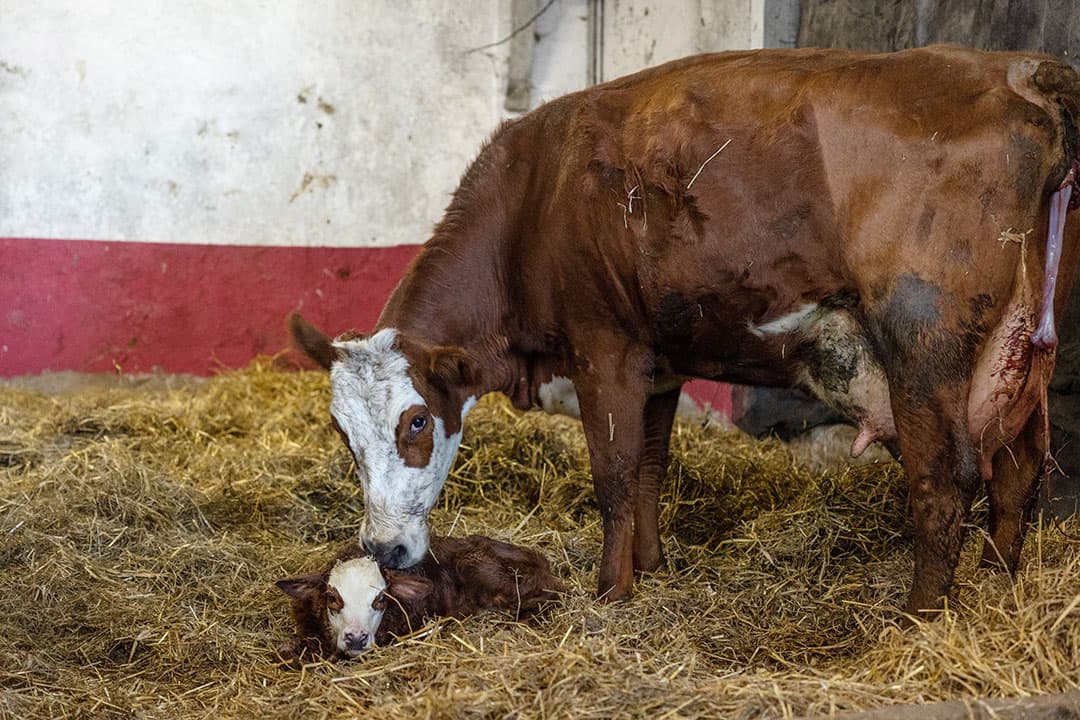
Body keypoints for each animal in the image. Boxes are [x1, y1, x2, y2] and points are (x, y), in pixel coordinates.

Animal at [289, 45, 1080, 616]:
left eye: (417, 420)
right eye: (340, 433)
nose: (383, 549)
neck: (535, 201)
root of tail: (1020, 72)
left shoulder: (603, 350)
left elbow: (612, 474)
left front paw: (611, 592)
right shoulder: (658, 360)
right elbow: (648, 466)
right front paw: (651, 566)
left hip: (924, 342)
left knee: (945, 476)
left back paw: (918, 616)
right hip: (1022, 355)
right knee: (1019, 469)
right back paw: (1001, 586)